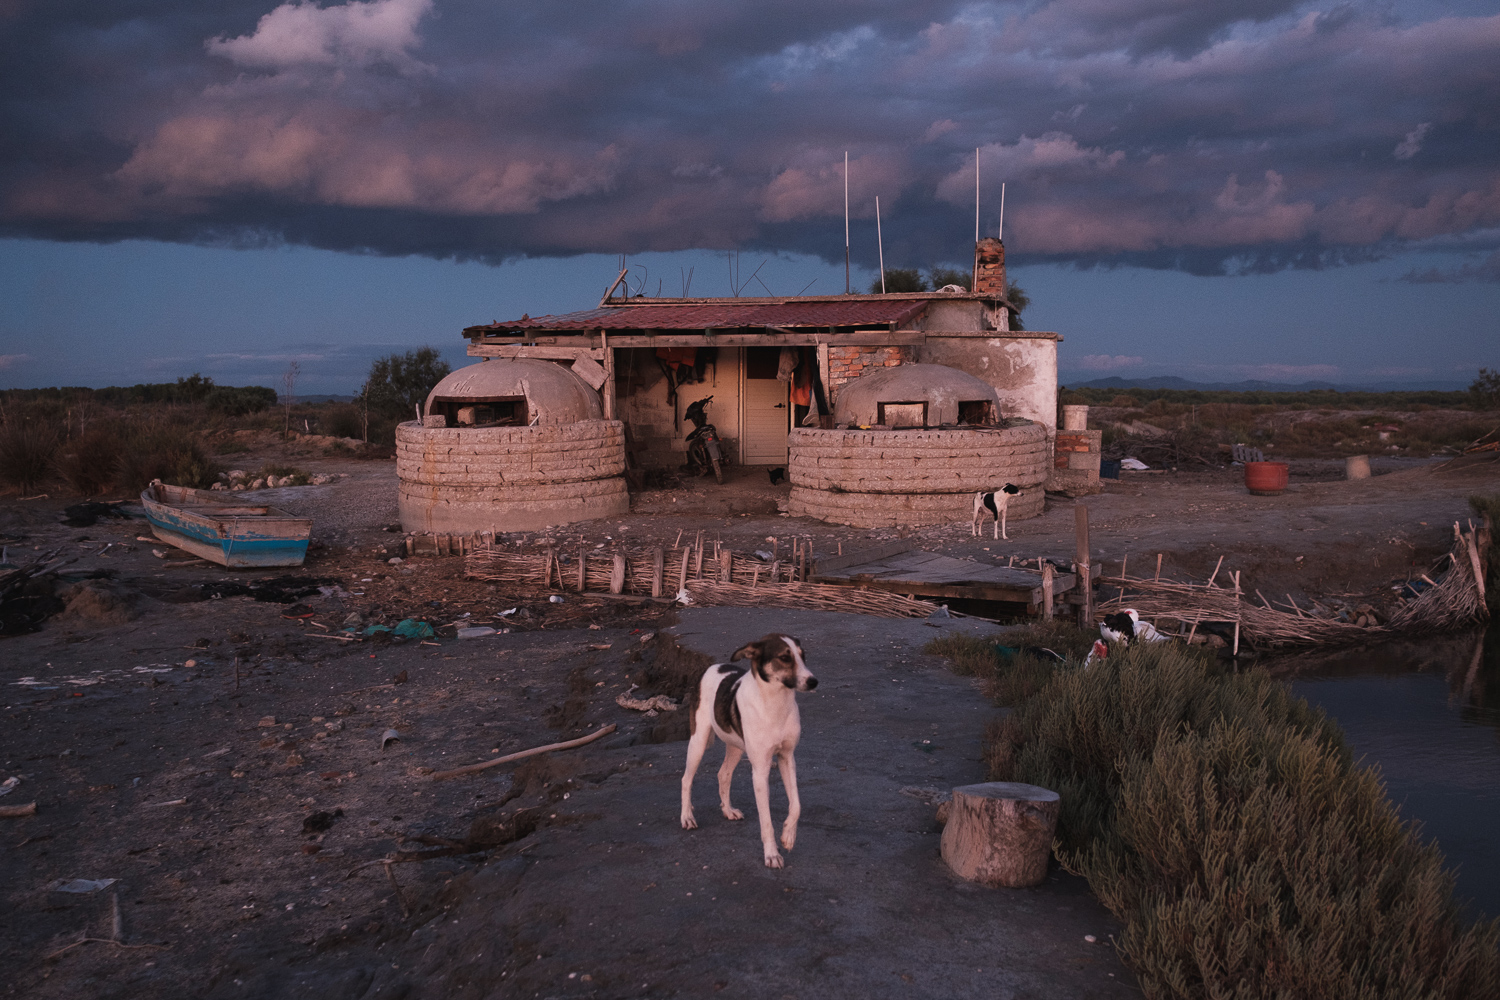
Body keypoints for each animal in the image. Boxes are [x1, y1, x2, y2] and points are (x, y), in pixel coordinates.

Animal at [684, 638, 822, 869]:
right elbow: (766, 820)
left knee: (723, 774)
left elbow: (796, 805)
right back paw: (686, 816)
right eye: (784, 657)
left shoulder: (787, 758)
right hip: (699, 741)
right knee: (686, 779)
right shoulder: (760, 771)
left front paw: (788, 836)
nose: (813, 682)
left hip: (736, 747)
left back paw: (728, 810)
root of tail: (712, 667)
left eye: (803, 656)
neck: (775, 704)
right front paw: (772, 854)